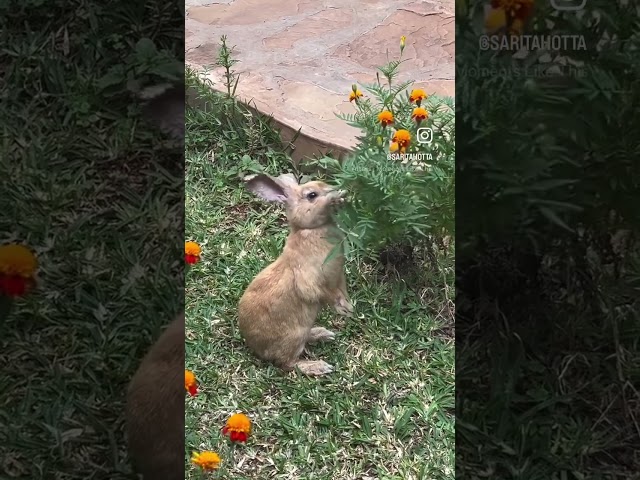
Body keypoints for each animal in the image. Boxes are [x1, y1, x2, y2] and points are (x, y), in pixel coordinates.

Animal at [238, 173, 354, 376]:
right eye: (312, 195)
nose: (339, 192)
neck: (310, 230)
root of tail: (255, 346)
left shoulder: (339, 277)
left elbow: (341, 290)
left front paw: (349, 307)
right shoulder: (312, 282)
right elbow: (324, 294)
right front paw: (345, 310)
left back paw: (323, 334)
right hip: (293, 337)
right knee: (287, 364)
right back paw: (319, 366)